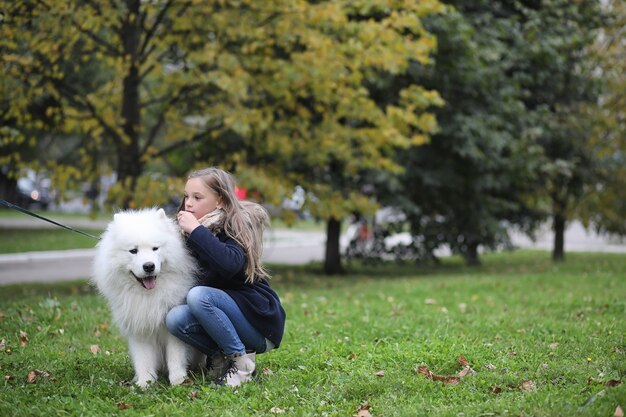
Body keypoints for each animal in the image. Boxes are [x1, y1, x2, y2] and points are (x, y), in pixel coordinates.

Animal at [91, 208, 204, 386]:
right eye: (133, 251)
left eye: (155, 248)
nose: (149, 266)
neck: (148, 296)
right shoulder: (139, 327)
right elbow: (143, 359)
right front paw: (145, 383)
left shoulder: (171, 331)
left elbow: (175, 357)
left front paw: (178, 380)